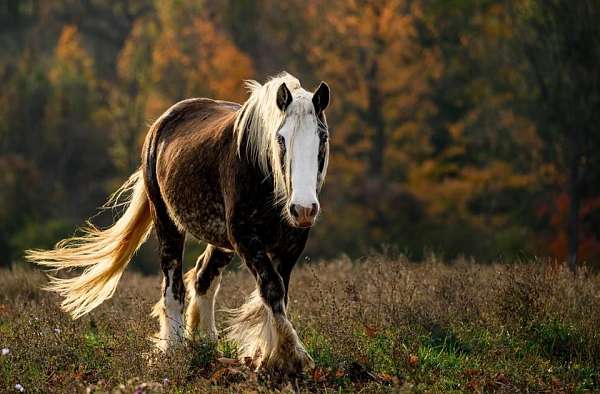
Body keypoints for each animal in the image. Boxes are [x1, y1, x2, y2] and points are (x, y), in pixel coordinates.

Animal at [25, 72, 330, 374]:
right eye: (280, 138)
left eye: (323, 137)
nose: (303, 209)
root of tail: (162, 122)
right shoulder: (245, 237)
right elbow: (272, 289)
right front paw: (291, 357)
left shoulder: (289, 244)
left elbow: (278, 293)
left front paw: (271, 357)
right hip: (167, 223)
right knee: (174, 286)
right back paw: (175, 348)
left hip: (220, 240)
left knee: (203, 277)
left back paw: (206, 344)